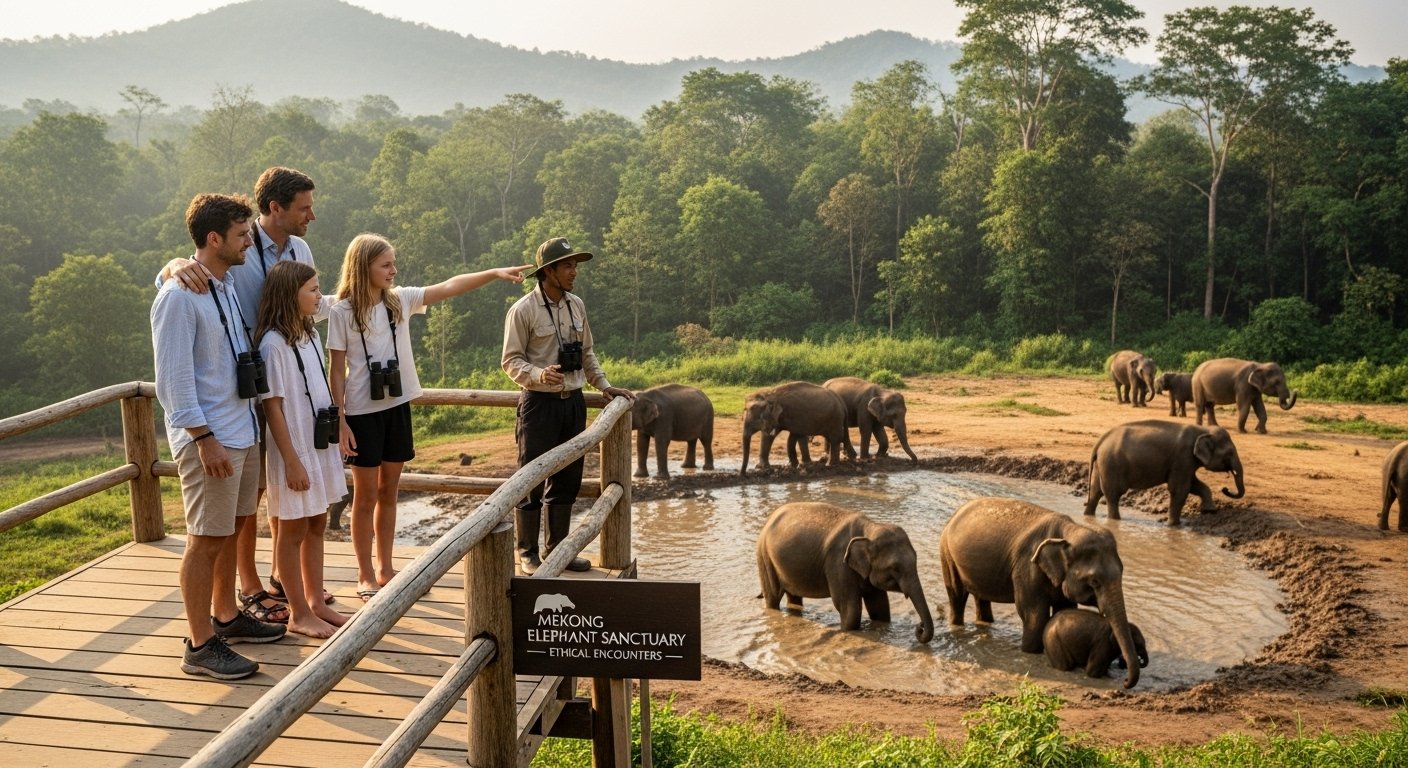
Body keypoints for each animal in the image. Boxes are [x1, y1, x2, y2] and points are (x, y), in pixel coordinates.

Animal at [756, 501, 934, 642]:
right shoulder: (838, 563)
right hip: (764, 556)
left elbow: (880, 606)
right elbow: (850, 609)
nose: (920, 627)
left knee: (793, 596)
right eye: (896, 568)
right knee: (773, 597)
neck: (870, 527)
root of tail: (769, 519)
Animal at [938, 496, 1140, 689]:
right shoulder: (1028, 566)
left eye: (1122, 572)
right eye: (1094, 581)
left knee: (981, 597)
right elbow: (1034, 614)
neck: (1069, 530)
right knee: (957, 594)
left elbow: (1064, 608)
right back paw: (957, 626)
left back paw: (986, 623)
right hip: (946, 552)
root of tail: (955, 514)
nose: (1124, 681)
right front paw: (1031, 652)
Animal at [1084, 419, 1244, 526]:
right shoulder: (1182, 457)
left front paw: (1210, 511)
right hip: (1111, 465)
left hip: (1102, 465)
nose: (1225, 489)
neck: (1203, 429)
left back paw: (1088, 516)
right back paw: (1115, 521)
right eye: (1229, 453)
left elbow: (1195, 485)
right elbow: (1180, 489)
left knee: (1096, 492)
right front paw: (1174, 525)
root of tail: (1100, 441)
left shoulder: (1187, 462)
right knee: (1112, 495)